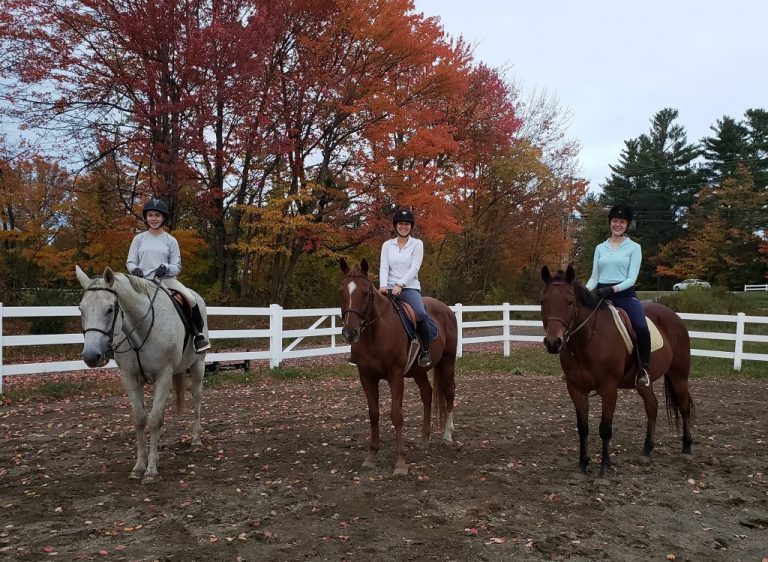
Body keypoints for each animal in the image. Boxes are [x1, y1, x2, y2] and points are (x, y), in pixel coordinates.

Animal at [75, 264, 208, 482]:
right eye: (81, 309)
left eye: (110, 309)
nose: (91, 356)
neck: (140, 330)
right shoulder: (129, 378)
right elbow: (140, 419)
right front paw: (139, 466)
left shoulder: (163, 375)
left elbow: (153, 420)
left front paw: (151, 469)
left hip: (198, 365)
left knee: (196, 398)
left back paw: (196, 438)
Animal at [338, 258, 456, 472]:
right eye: (341, 291)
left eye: (365, 293)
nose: (350, 332)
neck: (376, 334)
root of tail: (447, 310)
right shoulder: (366, 376)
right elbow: (374, 413)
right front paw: (371, 456)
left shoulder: (395, 375)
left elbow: (396, 414)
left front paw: (400, 462)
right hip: (419, 371)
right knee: (427, 394)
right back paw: (424, 439)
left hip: (448, 361)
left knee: (449, 392)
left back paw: (447, 435)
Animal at [540, 264, 696, 474]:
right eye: (543, 301)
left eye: (569, 301)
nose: (553, 343)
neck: (588, 341)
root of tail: (673, 316)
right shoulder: (575, 389)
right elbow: (582, 427)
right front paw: (583, 463)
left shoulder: (609, 388)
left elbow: (605, 428)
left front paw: (605, 465)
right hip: (643, 382)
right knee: (652, 406)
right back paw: (647, 450)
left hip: (679, 375)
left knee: (684, 405)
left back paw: (687, 448)